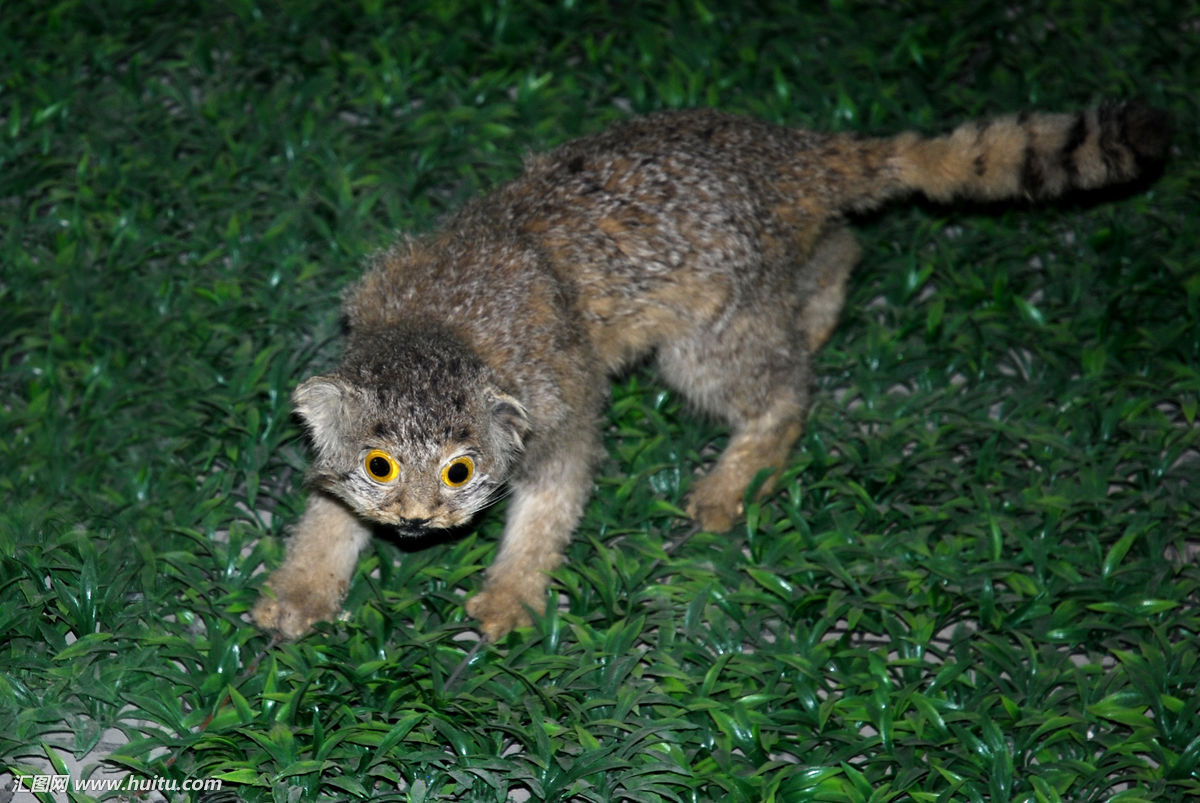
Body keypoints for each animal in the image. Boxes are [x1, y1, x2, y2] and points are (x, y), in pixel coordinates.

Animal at [250, 102, 1161, 638]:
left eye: (460, 470)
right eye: (380, 465)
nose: (417, 519)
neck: (438, 323)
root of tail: (796, 155)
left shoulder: (560, 408)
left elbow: (551, 505)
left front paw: (511, 591)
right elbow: (328, 512)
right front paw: (305, 588)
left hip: (706, 335)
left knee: (785, 387)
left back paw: (740, 471)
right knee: (842, 246)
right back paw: (821, 306)